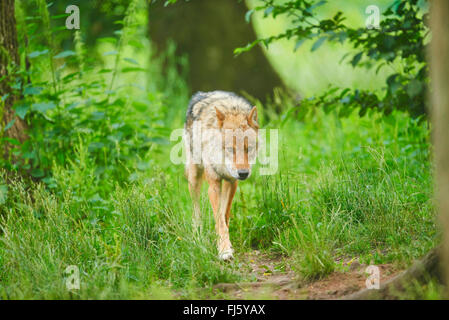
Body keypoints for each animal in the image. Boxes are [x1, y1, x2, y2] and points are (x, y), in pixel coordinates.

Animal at [183, 90, 260, 260]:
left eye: (249, 148)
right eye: (231, 149)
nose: (243, 173)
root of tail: (202, 94)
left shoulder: (232, 183)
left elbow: (224, 216)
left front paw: (224, 244)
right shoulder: (214, 185)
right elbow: (219, 219)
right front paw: (224, 251)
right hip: (194, 178)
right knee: (196, 211)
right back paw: (197, 237)